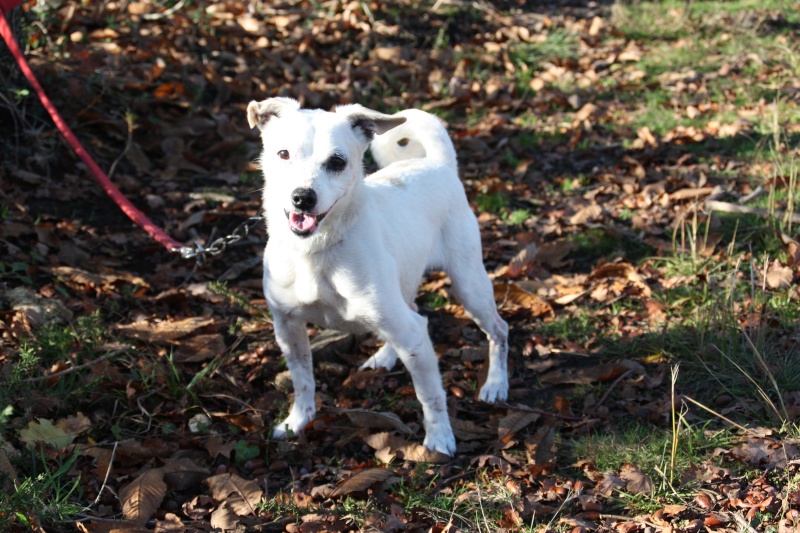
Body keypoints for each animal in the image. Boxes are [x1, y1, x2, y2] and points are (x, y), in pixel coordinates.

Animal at [247, 97, 510, 456]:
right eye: (283, 154)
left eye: (337, 162)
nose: (303, 197)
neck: (317, 251)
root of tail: (438, 163)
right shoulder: (287, 327)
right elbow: (303, 380)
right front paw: (298, 420)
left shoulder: (412, 335)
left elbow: (430, 395)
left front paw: (440, 438)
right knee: (413, 311)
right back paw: (385, 356)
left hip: (468, 285)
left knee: (498, 330)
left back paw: (496, 384)